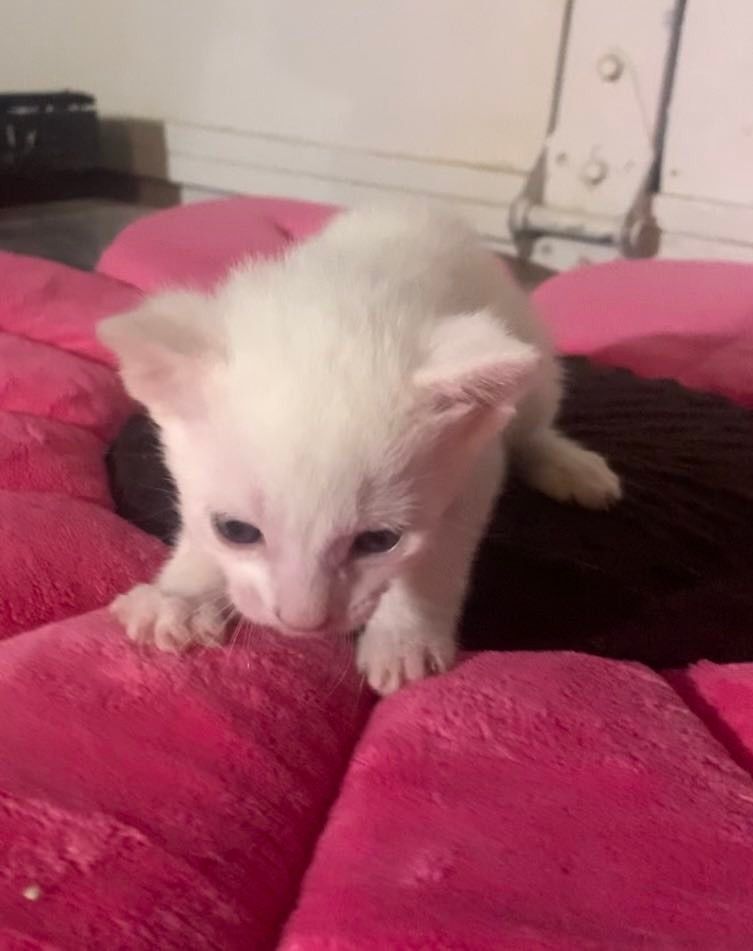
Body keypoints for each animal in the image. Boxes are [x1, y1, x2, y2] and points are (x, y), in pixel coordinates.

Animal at [97, 205, 620, 696]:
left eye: (378, 540)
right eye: (237, 531)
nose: (302, 623)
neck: (340, 296)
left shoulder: (476, 463)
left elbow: (438, 550)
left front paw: (406, 636)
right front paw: (181, 594)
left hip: (535, 365)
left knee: (532, 424)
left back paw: (569, 465)